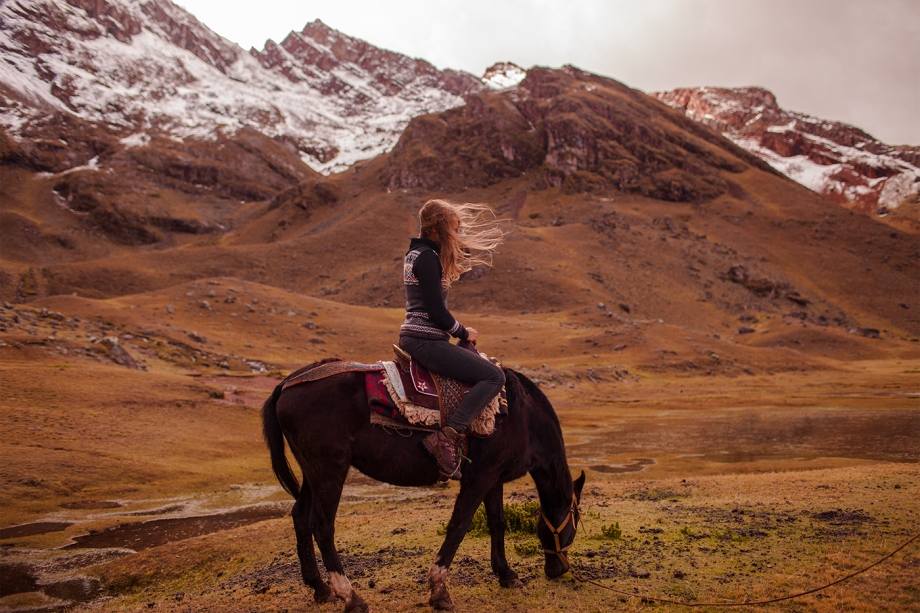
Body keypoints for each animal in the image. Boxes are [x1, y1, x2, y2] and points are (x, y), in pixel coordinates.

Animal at [262, 358, 584, 612]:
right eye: (575, 525)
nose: (557, 571)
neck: (523, 418)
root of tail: (287, 385)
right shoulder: (479, 477)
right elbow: (459, 525)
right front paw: (439, 591)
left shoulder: (494, 479)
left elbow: (497, 523)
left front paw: (507, 575)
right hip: (330, 470)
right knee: (322, 525)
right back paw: (351, 597)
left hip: (311, 473)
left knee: (300, 517)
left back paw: (320, 589)